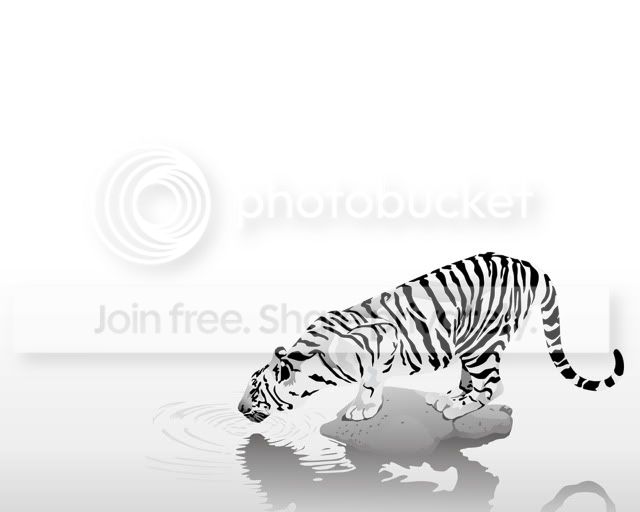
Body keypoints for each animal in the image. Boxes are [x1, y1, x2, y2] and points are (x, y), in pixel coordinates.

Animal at [238, 252, 624, 423]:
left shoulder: (383, 339)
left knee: (493, 385)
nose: (239, 408)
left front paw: (364, 408)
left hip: (481, 343)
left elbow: (371, 382)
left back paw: (456, 408)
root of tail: (527, 264)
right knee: (473, 379)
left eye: (255, 391)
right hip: (470, 343)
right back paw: (448, 396)